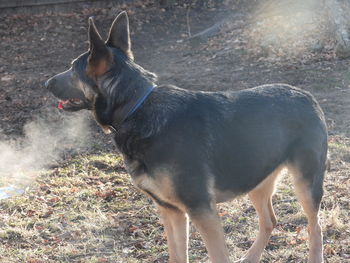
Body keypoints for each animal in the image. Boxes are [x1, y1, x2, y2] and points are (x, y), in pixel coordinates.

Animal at [45, 10, 326, 263]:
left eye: (73, 68)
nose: (46, 83)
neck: (137, 107)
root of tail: (308, 96)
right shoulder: (171, 211)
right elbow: (177, 255)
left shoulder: (201, 210)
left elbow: (217, 256)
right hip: (255, 179)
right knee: (269, 220)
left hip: (305, 183)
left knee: (315, 226)